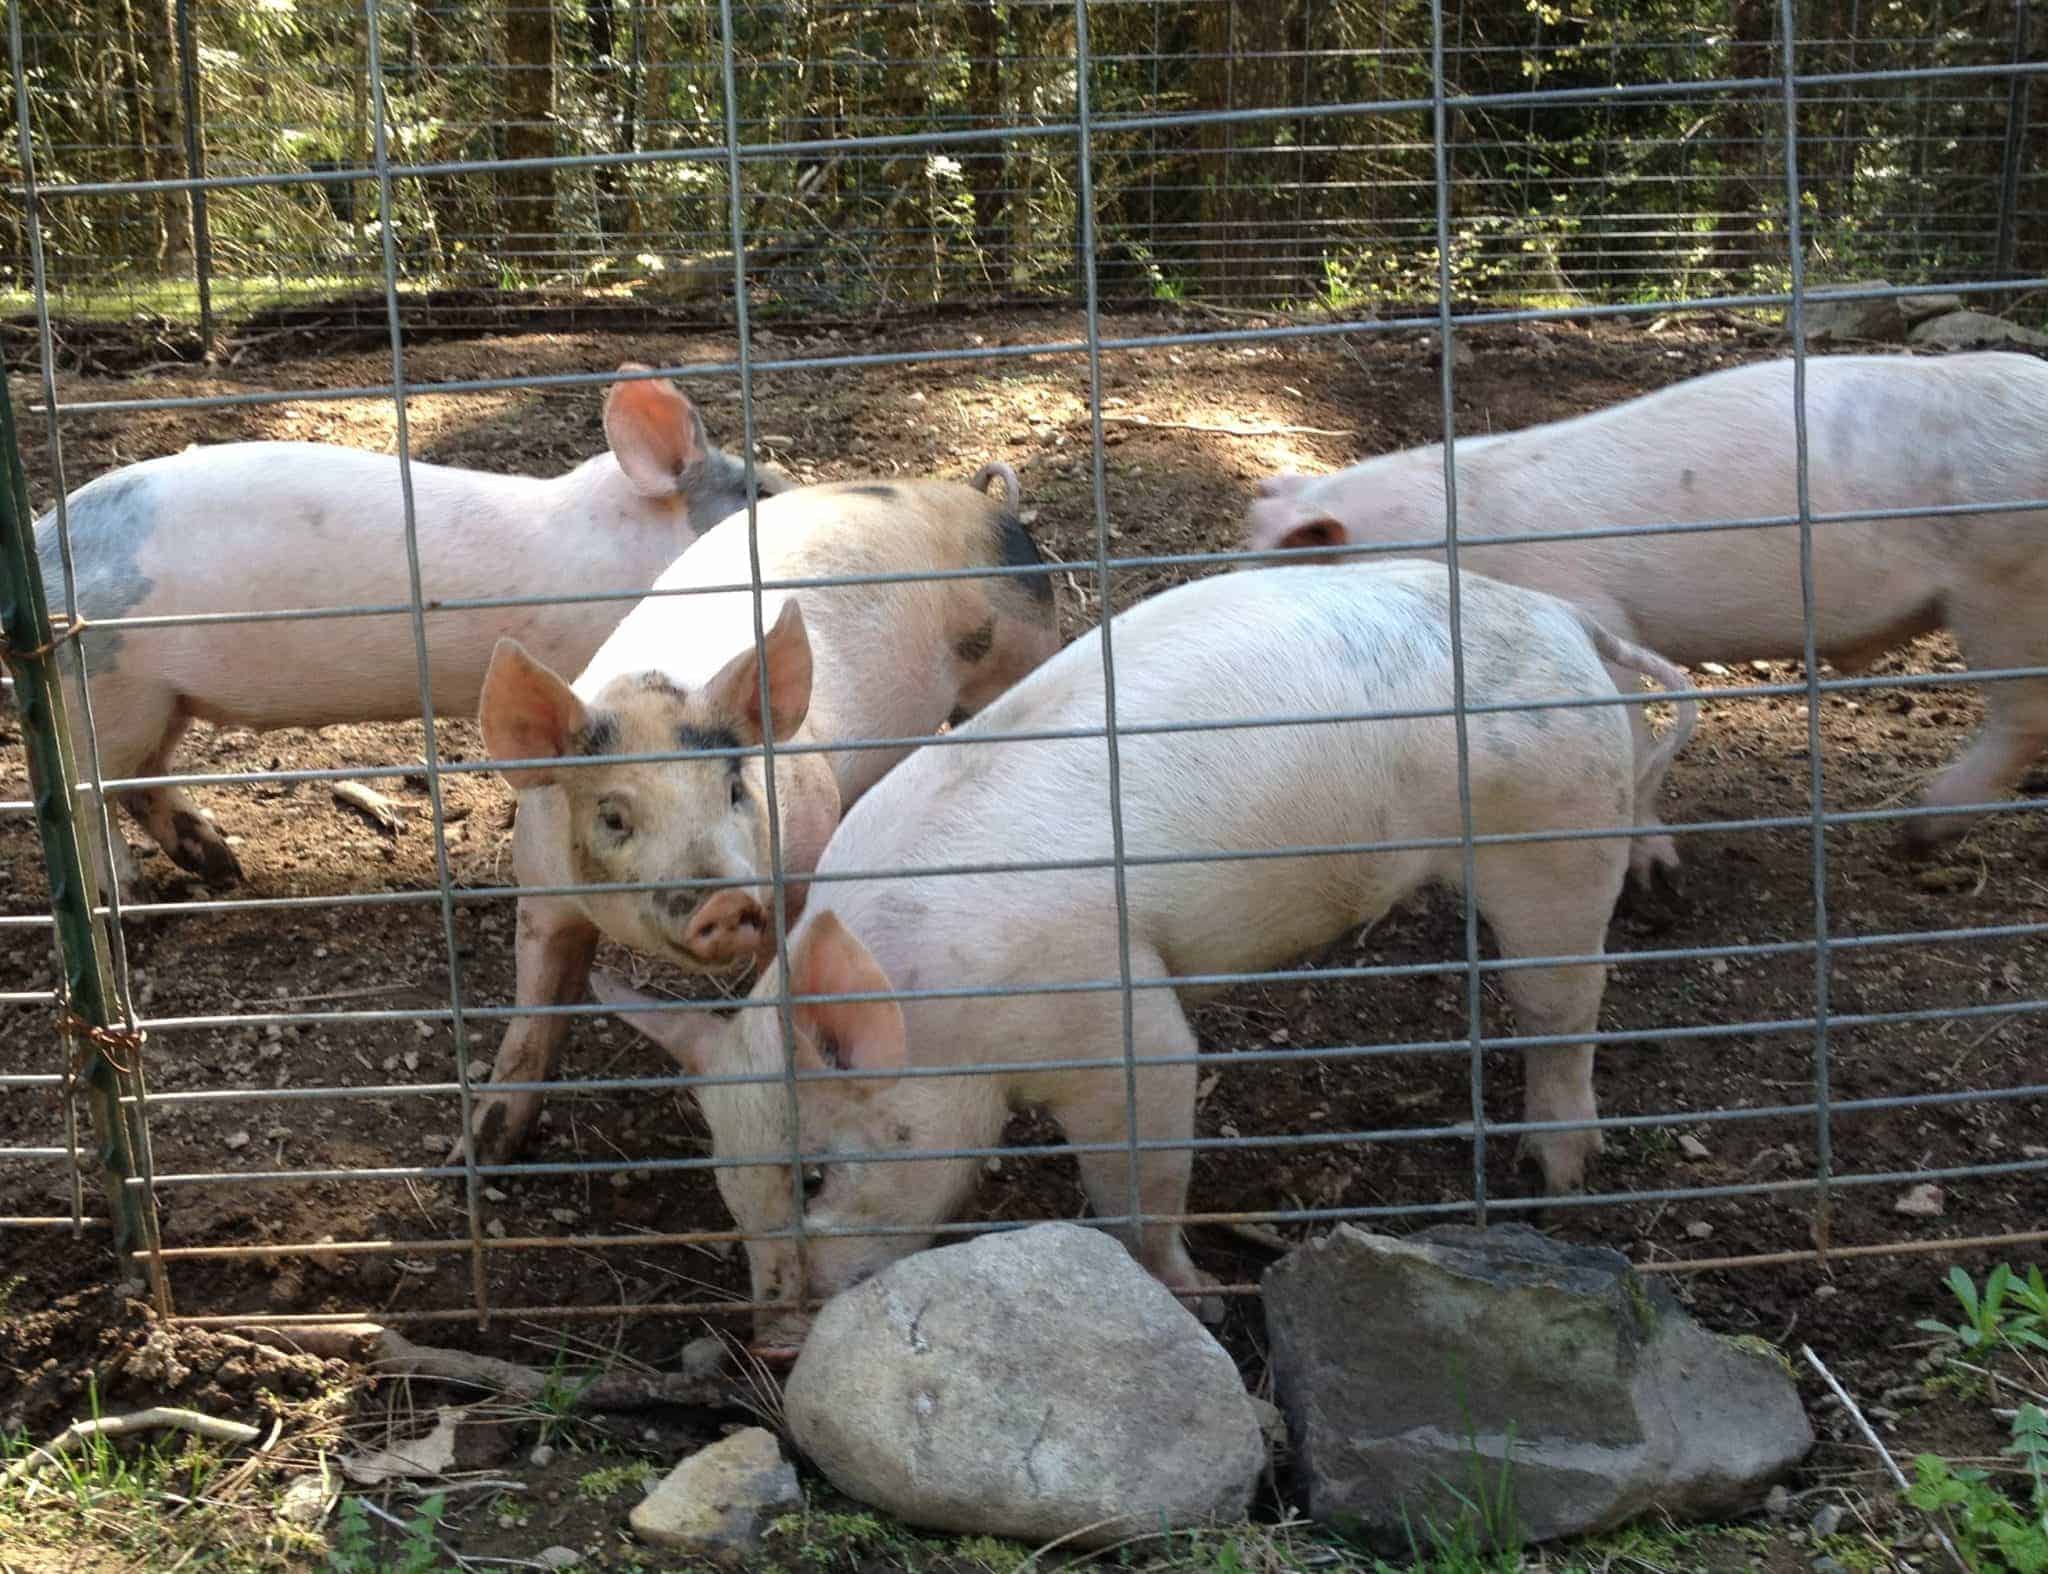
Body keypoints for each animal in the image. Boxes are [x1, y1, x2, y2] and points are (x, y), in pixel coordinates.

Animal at [32, 360, 782, 892]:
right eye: (763, 491)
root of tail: (41, 544)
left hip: (162, 700)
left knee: (140, 782)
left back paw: (220, 867)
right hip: (106, 688)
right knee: (84, 798)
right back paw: (128, 893)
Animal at [464, 460, 1064, 1162]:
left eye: (733, 792)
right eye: (613, 817)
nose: (724, 901)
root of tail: (984, 504)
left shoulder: (803, 843)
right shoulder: (539, 888)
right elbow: (532, 1020)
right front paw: (475, 1157)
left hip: (1022, 646)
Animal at [589, 556, 1695, 1342]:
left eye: (815, 1177)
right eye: (729, 1190)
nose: (772, 1339)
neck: (943, 1013)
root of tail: (1559, 623)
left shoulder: (1119, 1014)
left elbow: (1145, 1169)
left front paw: (1193, 1299)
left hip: (1555, 827)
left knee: (1565, 999)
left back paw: (1554, 1174)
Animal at [1236, 347, 2048, 884]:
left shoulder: (1592, 609)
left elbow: (1631, 732)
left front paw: (1654, 874)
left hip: (2005, 585)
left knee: (2022, 716)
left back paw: (1918, 833)